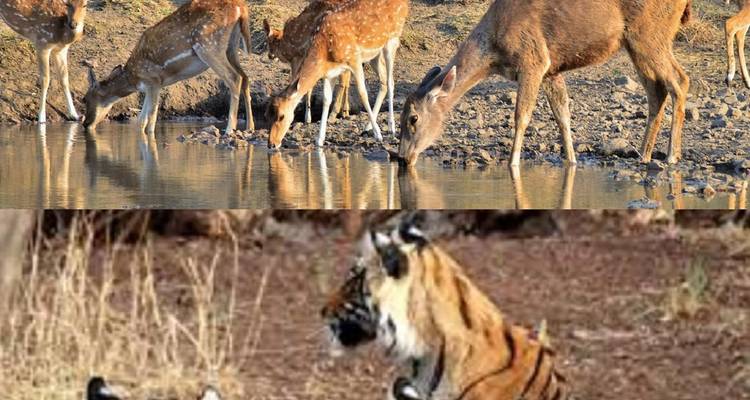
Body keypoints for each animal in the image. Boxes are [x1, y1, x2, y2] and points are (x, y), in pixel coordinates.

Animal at [82, 0, 255, 136]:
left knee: (234, 77)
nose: (85, 124)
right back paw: (249, 127)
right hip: (231, 47)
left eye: (85, 99)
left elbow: (151, 120)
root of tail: (241, 8)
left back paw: (229, 129)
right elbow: (141, 121)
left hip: (208, 45)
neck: (134, 78)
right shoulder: (150, 86)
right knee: (245, 77)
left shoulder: (154, 80)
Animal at [266, 0, 408, 149]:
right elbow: (326, 99)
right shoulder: (330, 72)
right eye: (267, 115)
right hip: (374, 55)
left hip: (392, 40)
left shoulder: (354, 59)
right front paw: (319, 140)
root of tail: (405, 4)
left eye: (281, 116)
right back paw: (367, 128)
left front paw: (378, 135)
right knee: (384, 81)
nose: (271, 144)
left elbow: (363, 93)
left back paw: (391, 128)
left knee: (391, 82)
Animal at [398, 0, 692, 167]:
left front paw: (513, 163)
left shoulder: (534, 60)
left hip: (649, 34)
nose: (402, 157)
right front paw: (571, 160)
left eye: (413, 118)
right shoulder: (552, 70)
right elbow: (562, 115)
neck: (494, 51)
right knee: (657, 90)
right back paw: (644, 154)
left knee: (680, 80)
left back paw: (671, 155)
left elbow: (522, 115)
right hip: (636, 43)